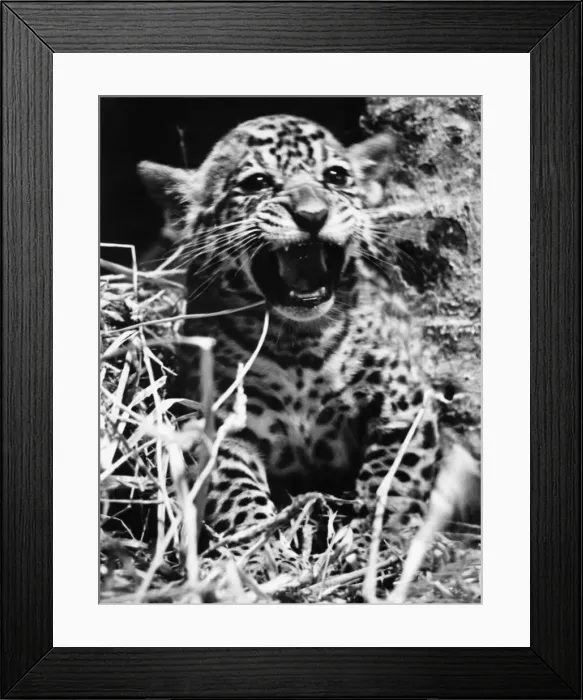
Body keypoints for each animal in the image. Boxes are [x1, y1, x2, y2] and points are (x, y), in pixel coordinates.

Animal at [138, 114, 478, 591]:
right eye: (257, 182)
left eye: (334, 176)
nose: (313, 215)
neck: (299, 341)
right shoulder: (219, 424)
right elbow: (235, 490)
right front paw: (255, 553)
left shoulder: (402, 401)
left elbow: (394, 477)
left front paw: (385, 539)